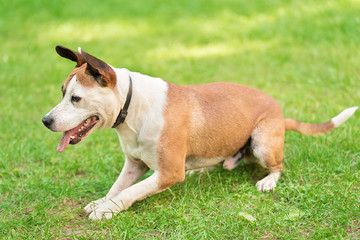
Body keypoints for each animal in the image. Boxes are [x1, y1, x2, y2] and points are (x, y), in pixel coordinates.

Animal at [42, 45, 358, 219]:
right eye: (62, 92)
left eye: (76, 98)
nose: (45, 121)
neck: (132, 107)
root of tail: (280, 113)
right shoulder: (134, 164)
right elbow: (118, 186)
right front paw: (102, 202)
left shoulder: (169, 173)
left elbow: (130, 191)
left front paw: (107, 209)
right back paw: (202, 169)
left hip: (263, 143)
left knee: (278, 166)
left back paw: (268, 180)